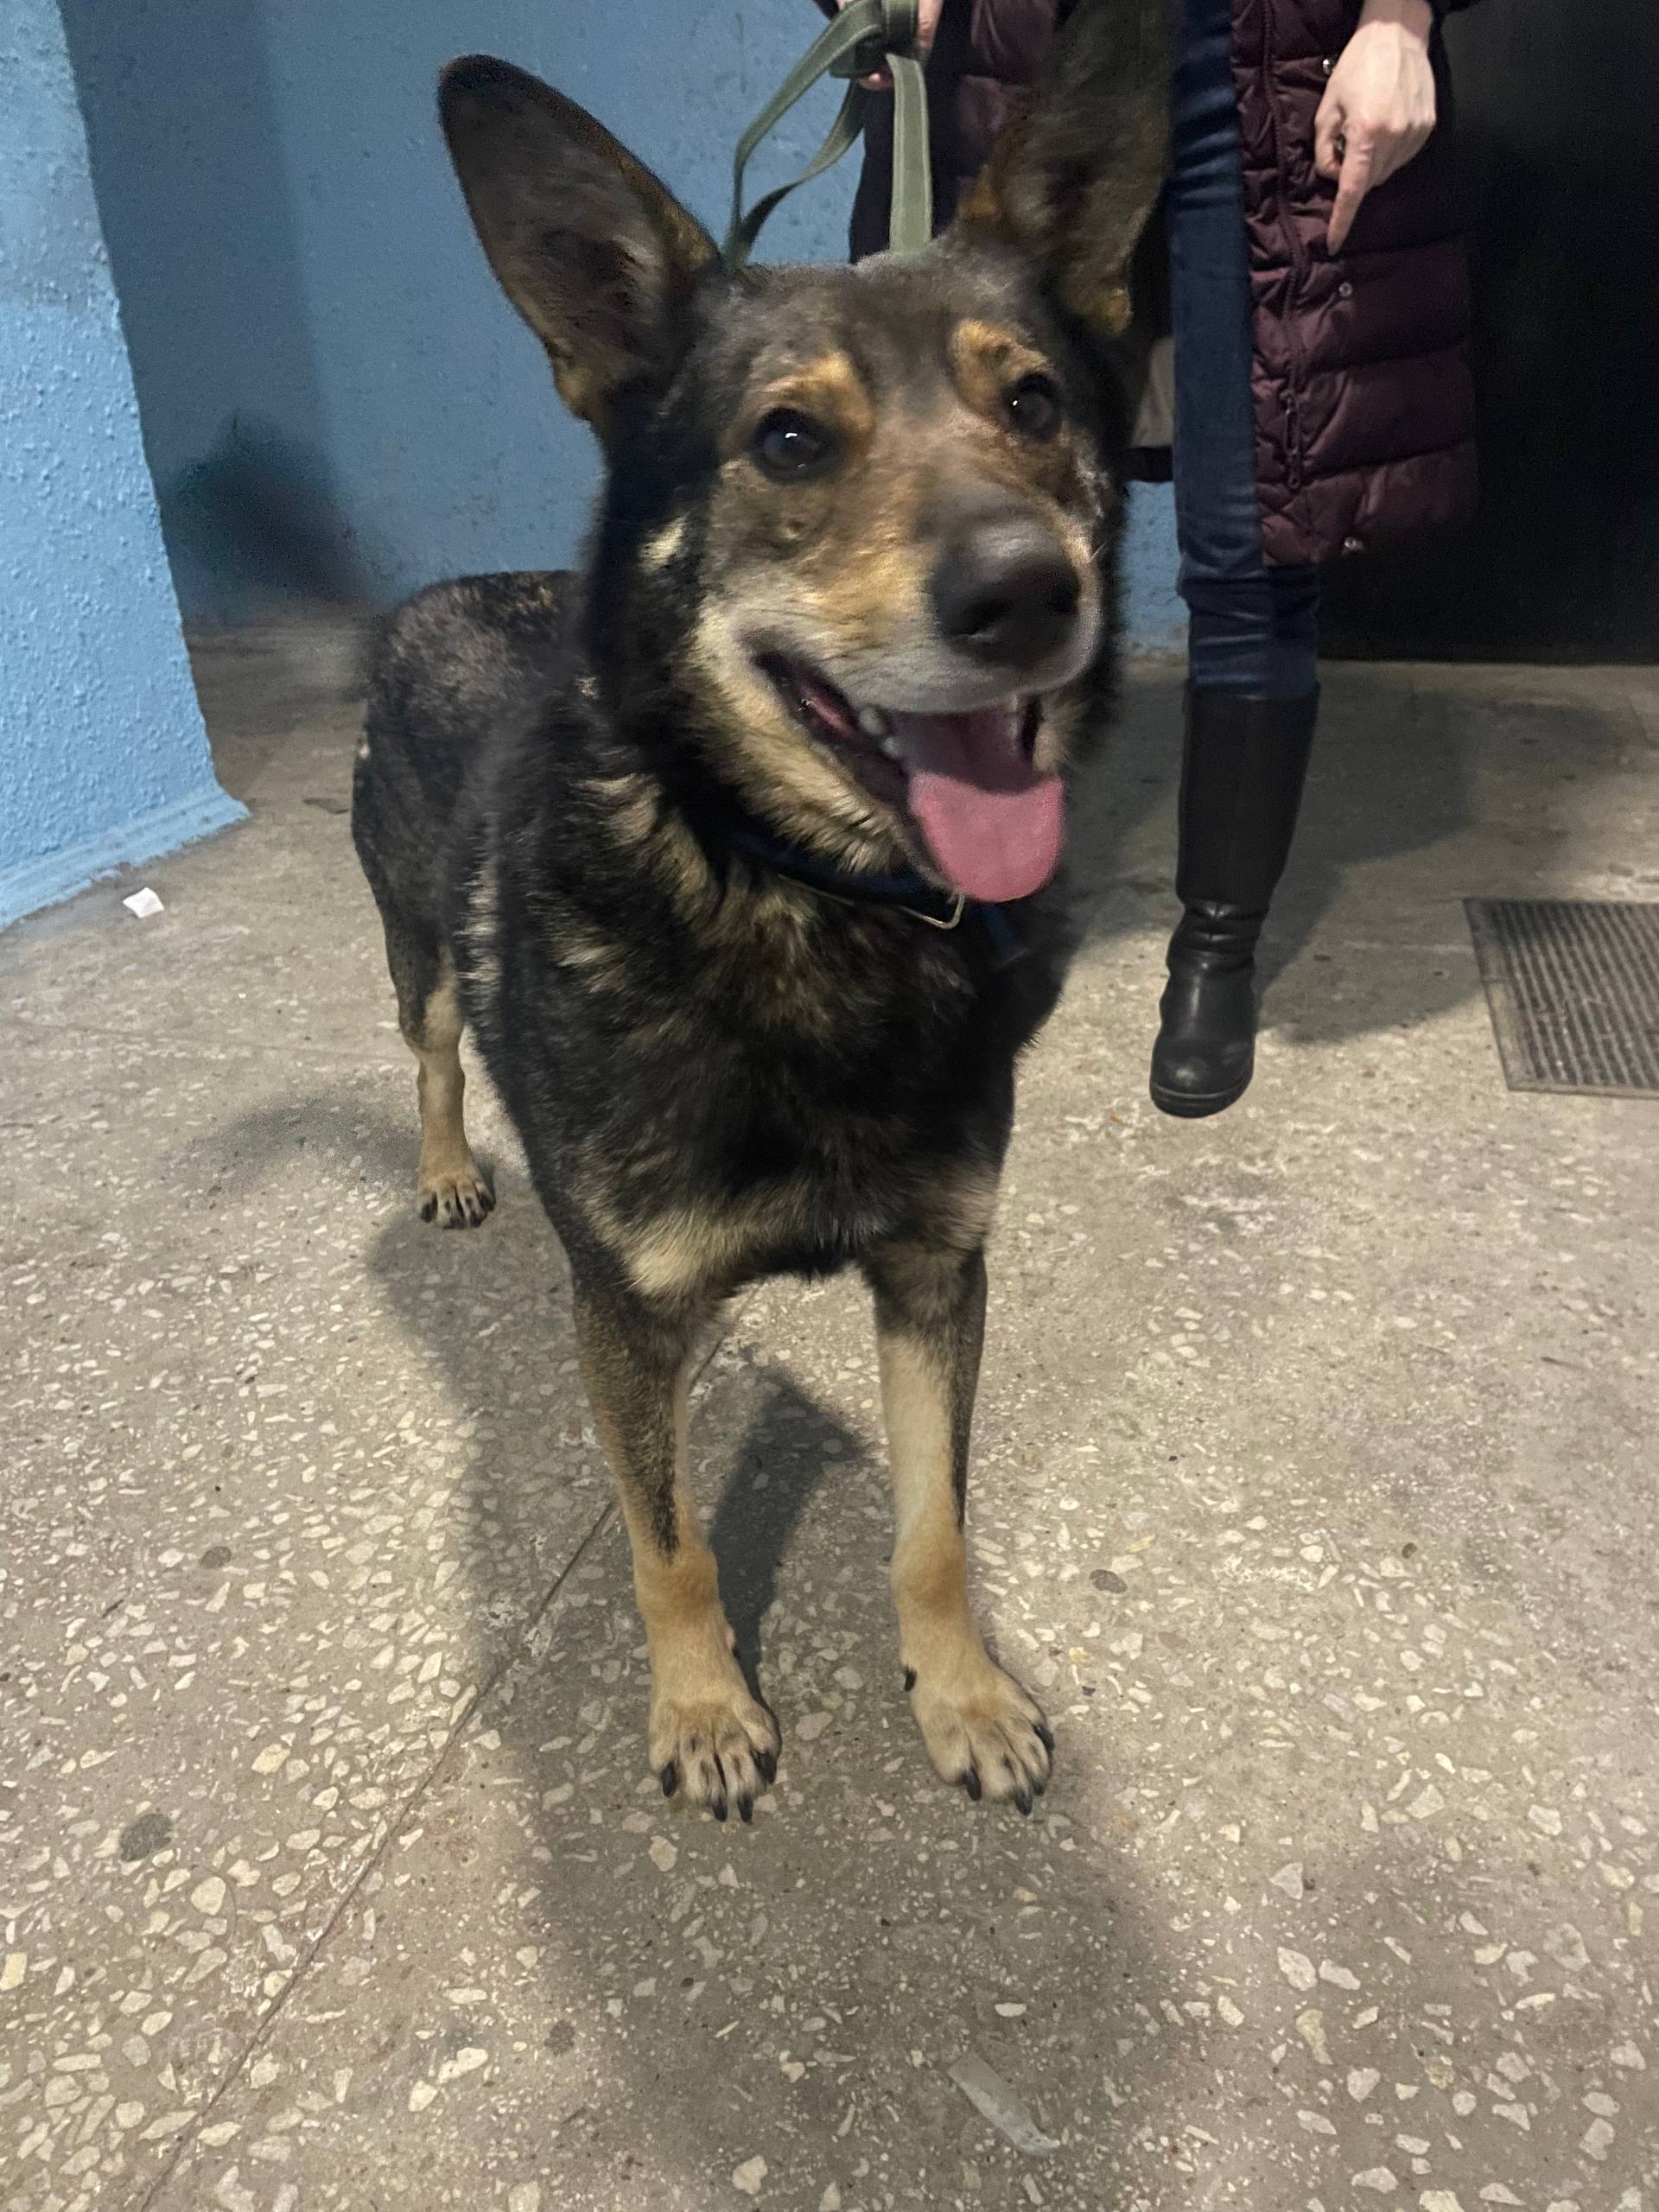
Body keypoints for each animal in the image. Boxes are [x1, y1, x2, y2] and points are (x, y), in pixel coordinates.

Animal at [352, 0, 1168, 1820]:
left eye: (1032, 404)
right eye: (789, 439)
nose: (1032, 594)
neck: (803, 897)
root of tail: (442, 594)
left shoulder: (937, 1273)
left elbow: (934, 1529)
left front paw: (961, 1692)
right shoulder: (627, 1312)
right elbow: (668, 1548)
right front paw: (705, 1707)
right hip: (415, 945)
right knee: (432, 1053)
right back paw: (448, 1168)